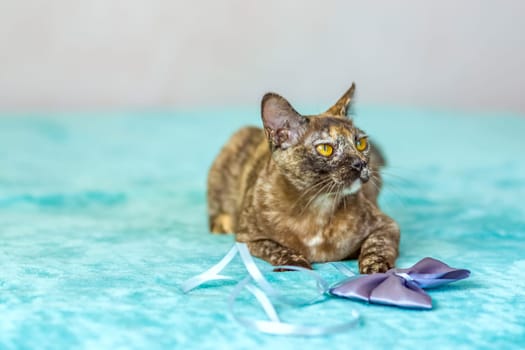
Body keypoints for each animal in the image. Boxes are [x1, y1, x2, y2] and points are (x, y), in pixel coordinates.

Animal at [207, 84, 400, 274]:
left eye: (361, 144)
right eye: (325, 149)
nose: (360, 163)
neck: (318, 207)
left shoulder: (387, 225)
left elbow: (376, 246)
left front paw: (375, 267)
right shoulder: (248, 238)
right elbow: (275, 247)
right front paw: (295, 262)